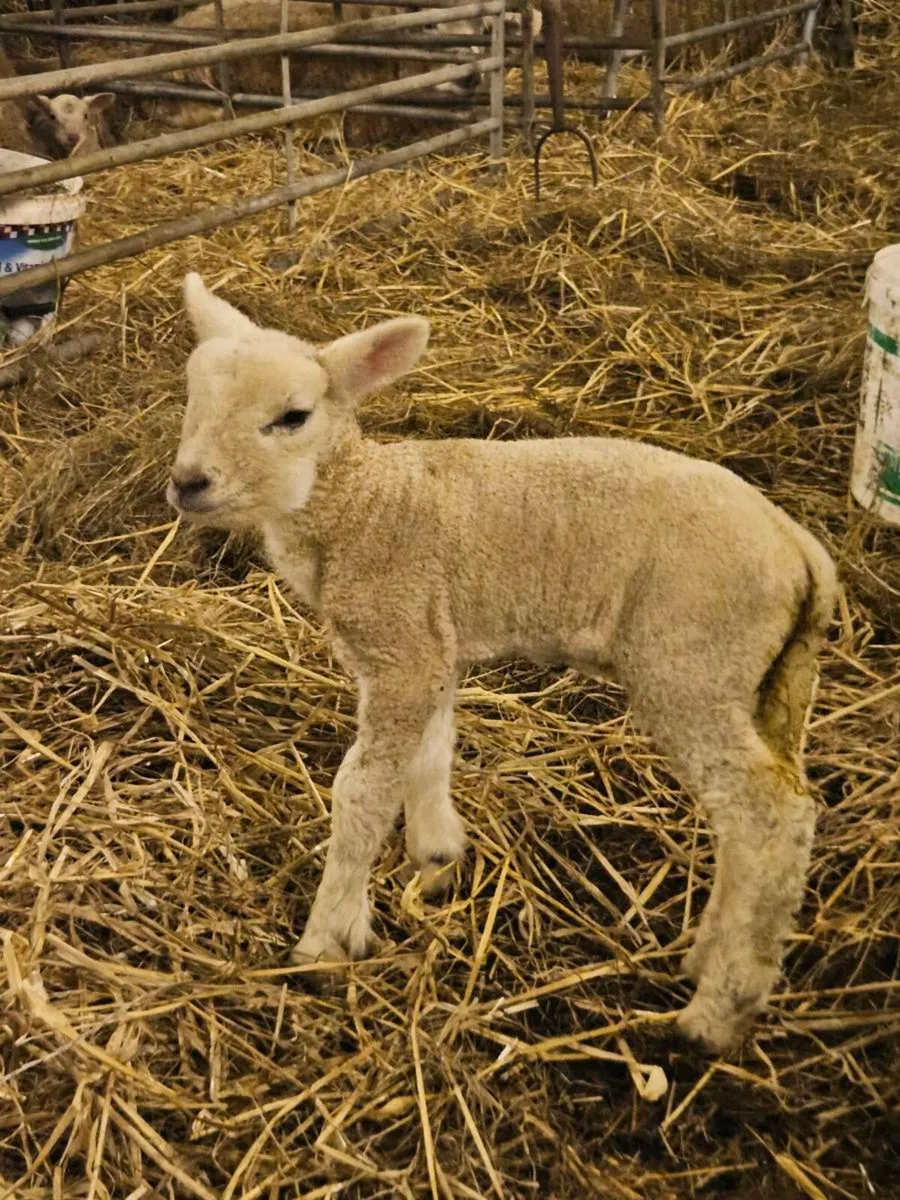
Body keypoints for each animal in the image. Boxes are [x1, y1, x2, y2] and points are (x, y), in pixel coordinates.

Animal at [167, 274, 837, 1056]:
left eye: (293, 416)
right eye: (193, 397)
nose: (189, 483)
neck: (362, 504)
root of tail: (798, 548)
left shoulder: (401, 644)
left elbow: (361, 791)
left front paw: (326, 938)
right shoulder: (427, 646)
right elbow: (429, 754)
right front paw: (435, 857)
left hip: (691, 659)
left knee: (769, 814)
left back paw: (717, 1011)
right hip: (769, 681)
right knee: (762, 815)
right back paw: (708, 957)